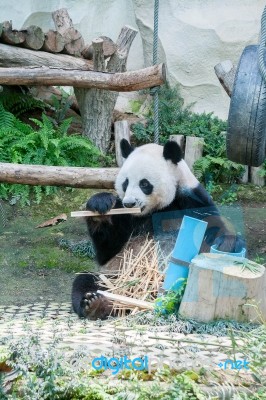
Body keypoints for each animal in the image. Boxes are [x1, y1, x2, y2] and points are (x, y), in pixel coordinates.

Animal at [71, 139, 245, 320]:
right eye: (125, 183)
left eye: (144, 183)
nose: (129, 203)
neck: (156, 210)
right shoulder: (125, 217)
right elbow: (108, 250)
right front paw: (100, 206)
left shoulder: (192, 200)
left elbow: (212, 227)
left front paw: (228, 243)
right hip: (112, 276)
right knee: (86, 280)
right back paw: (97, 305)